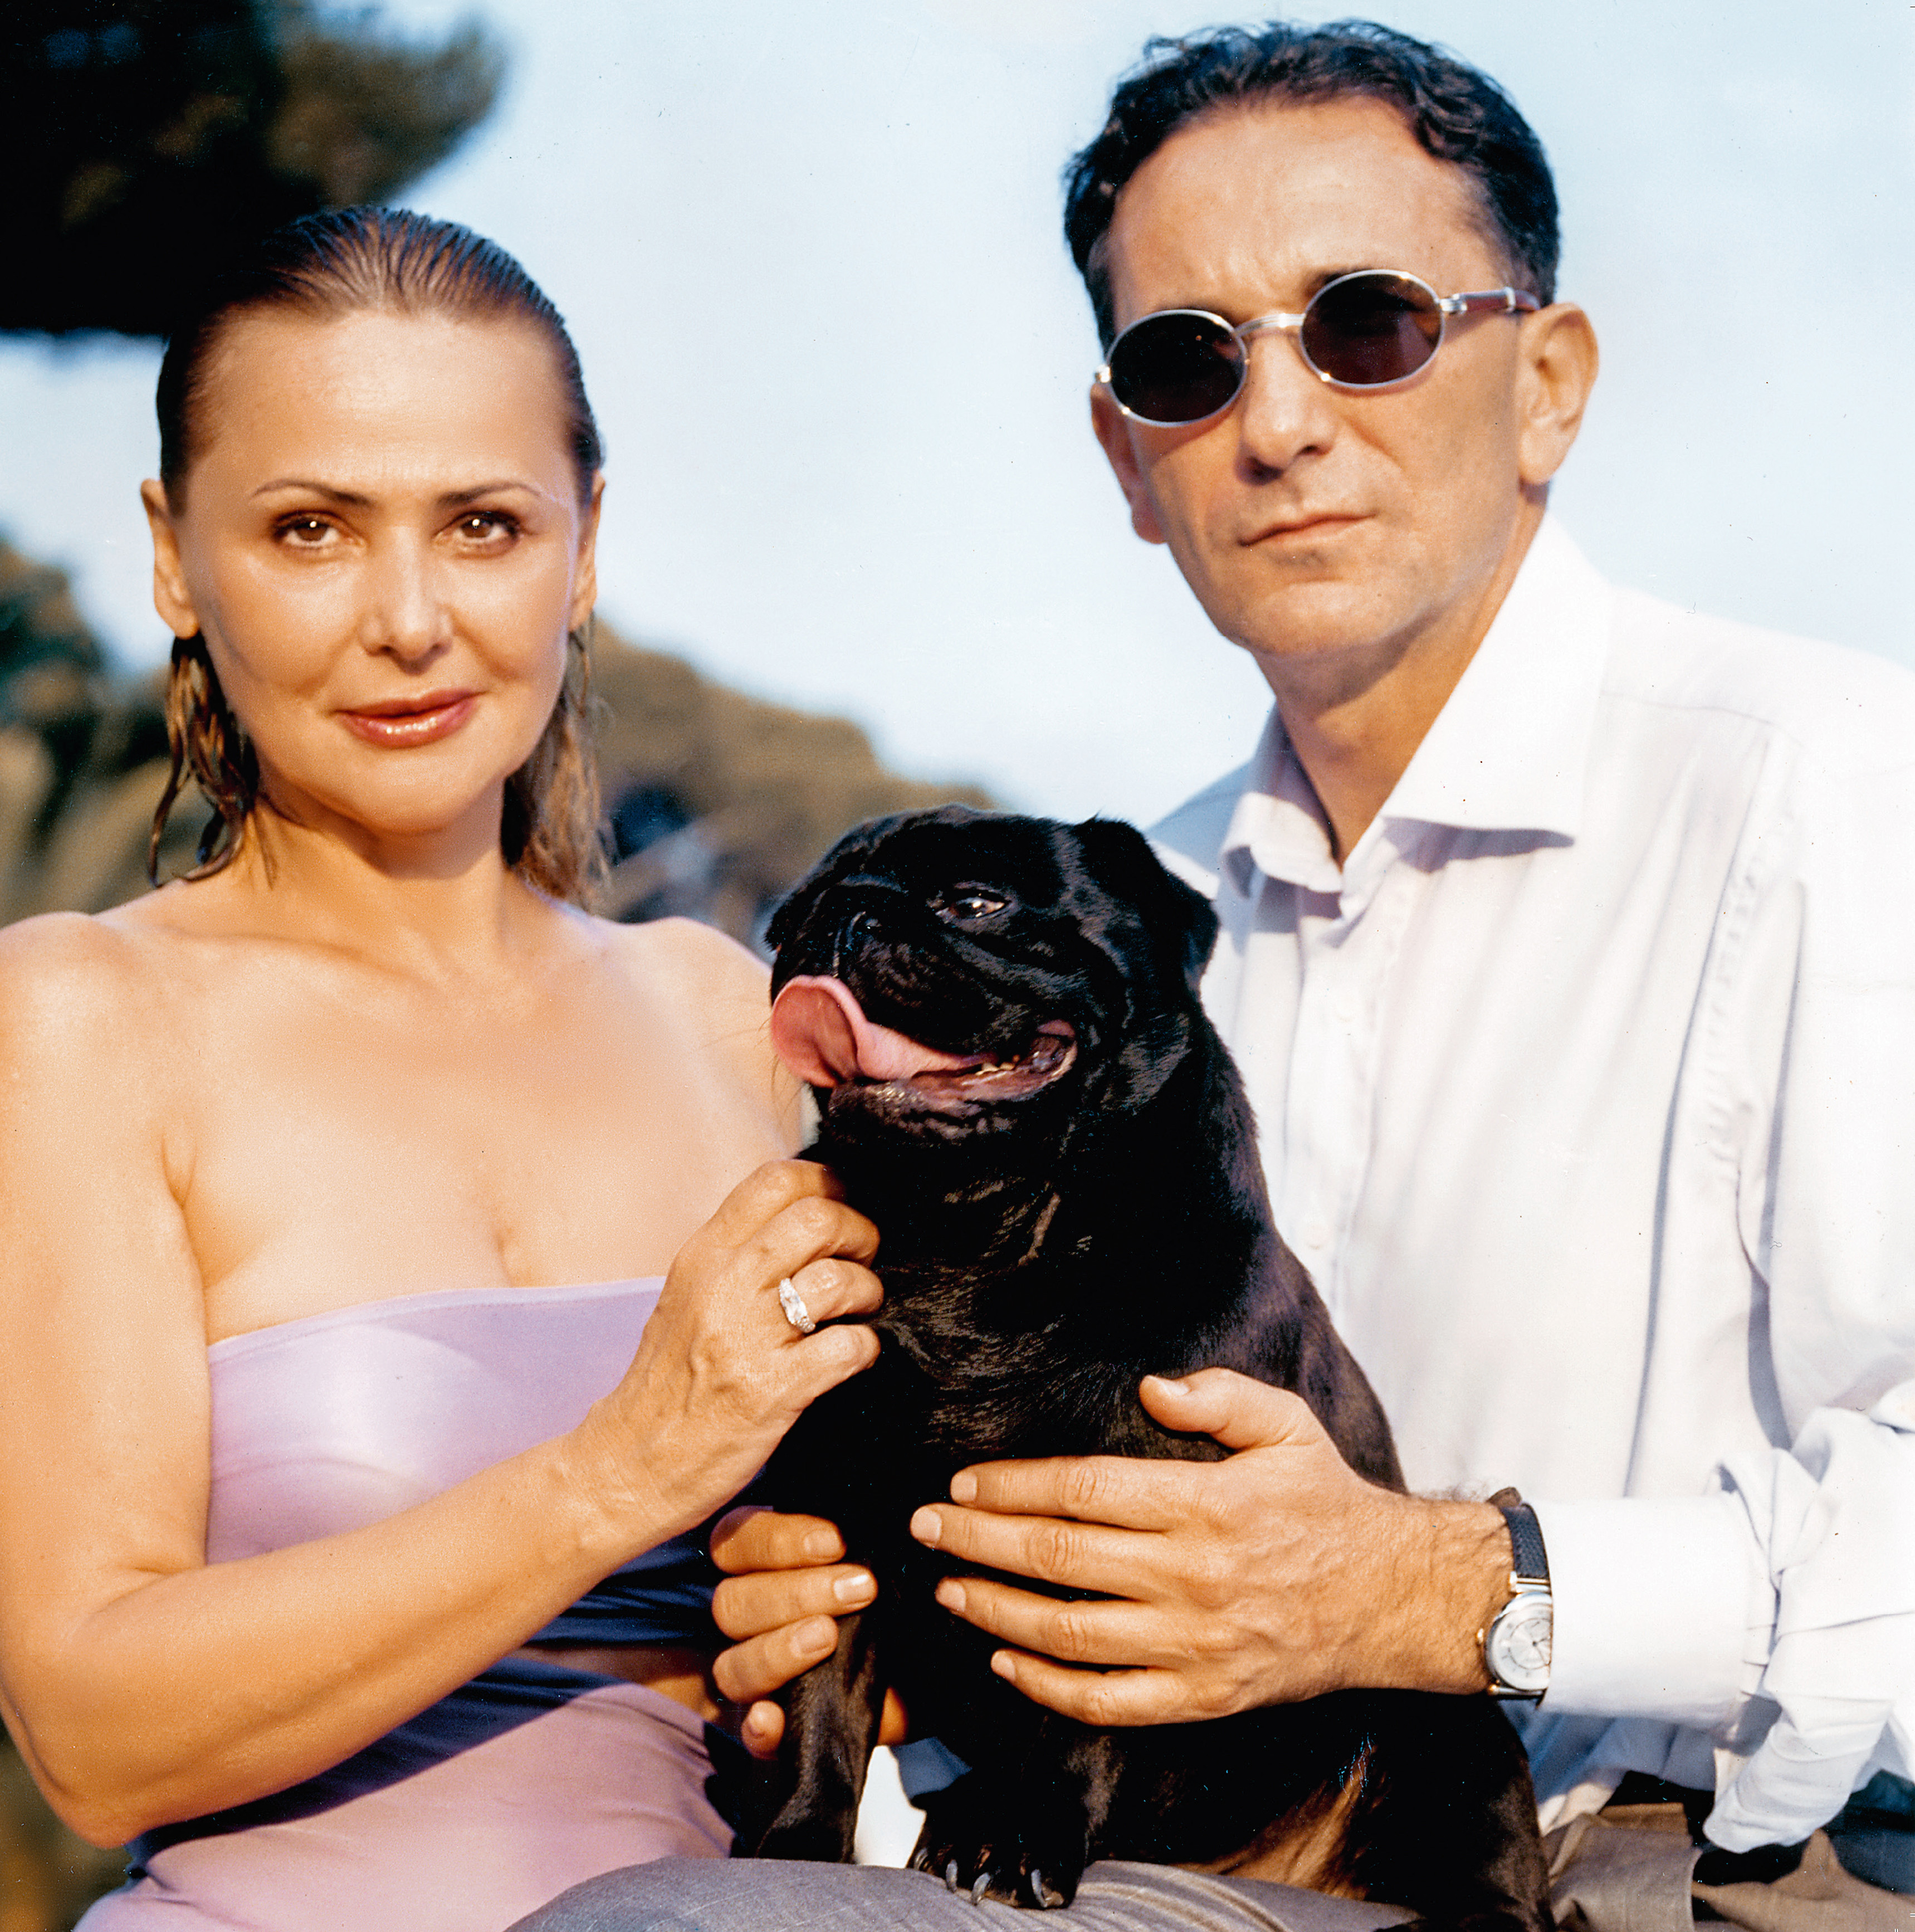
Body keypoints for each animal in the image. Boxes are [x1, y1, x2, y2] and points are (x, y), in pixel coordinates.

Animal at [744, 804, 1551, 1927]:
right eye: (785, 927)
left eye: (975, 901)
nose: (838, 922)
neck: (974, 1246)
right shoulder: (837, 1530)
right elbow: (823, 1702)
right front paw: (796, 1841)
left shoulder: (1130, 1557)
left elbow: (1075, 1711)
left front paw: (1021, 1836)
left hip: (1454, 1726)